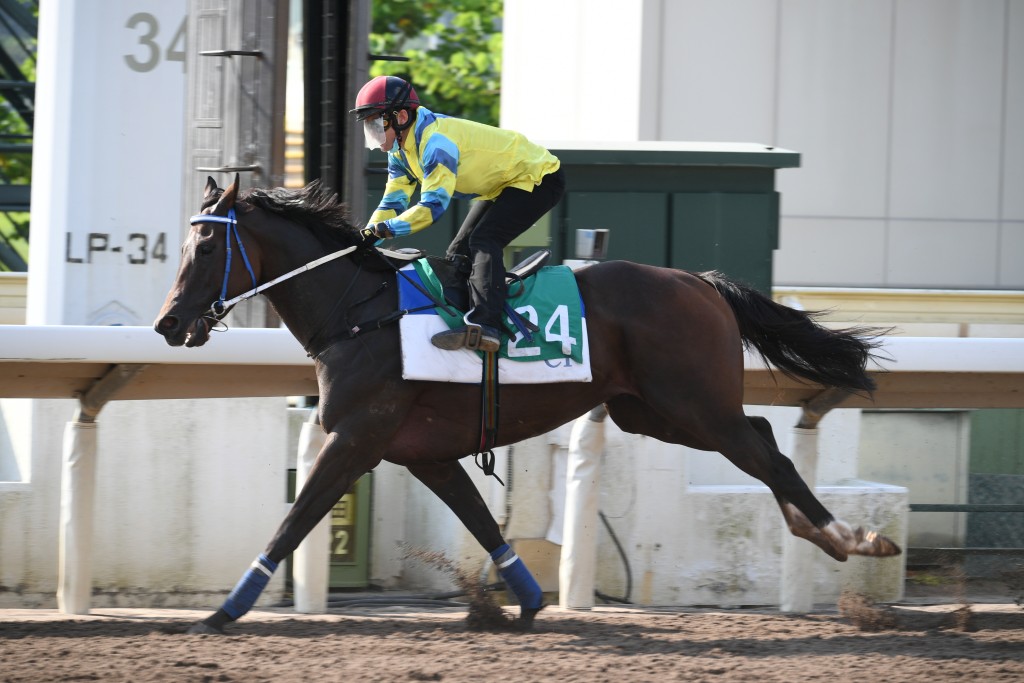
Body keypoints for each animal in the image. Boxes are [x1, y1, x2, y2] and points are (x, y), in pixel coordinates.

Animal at [155, 175, 901, 634]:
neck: (359, 312)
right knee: (765, 441)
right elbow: (481, 518)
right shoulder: (422, 452)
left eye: (207, 244)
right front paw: (531, 603)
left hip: (693, 405)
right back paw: (821, 534)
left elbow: (293, 522)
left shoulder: (357, 439)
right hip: (652, 412)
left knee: (769, 455)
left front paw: (222, 612)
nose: (168, 323)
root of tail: (702, 283)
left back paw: (850, 536)